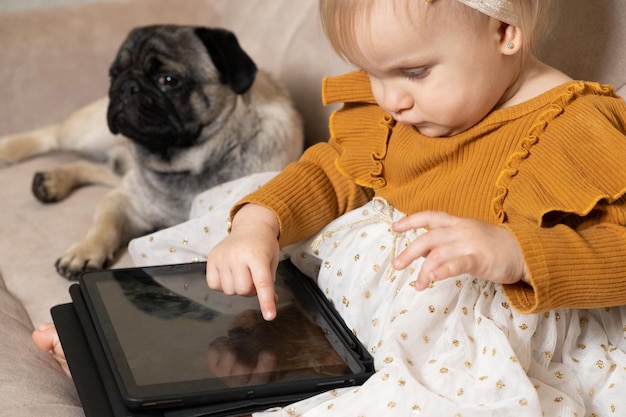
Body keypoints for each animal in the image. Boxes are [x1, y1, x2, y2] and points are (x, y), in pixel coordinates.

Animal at [0, 25, 302, 280]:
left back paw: (51, 181)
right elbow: (104, 226)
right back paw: (8, 150)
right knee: (52, 134)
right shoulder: (124, 202)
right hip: (86, 133)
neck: (186, 163)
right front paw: (84, 251)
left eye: (168, 79)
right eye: (113, 74)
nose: (126, 85)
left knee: (96, 167)